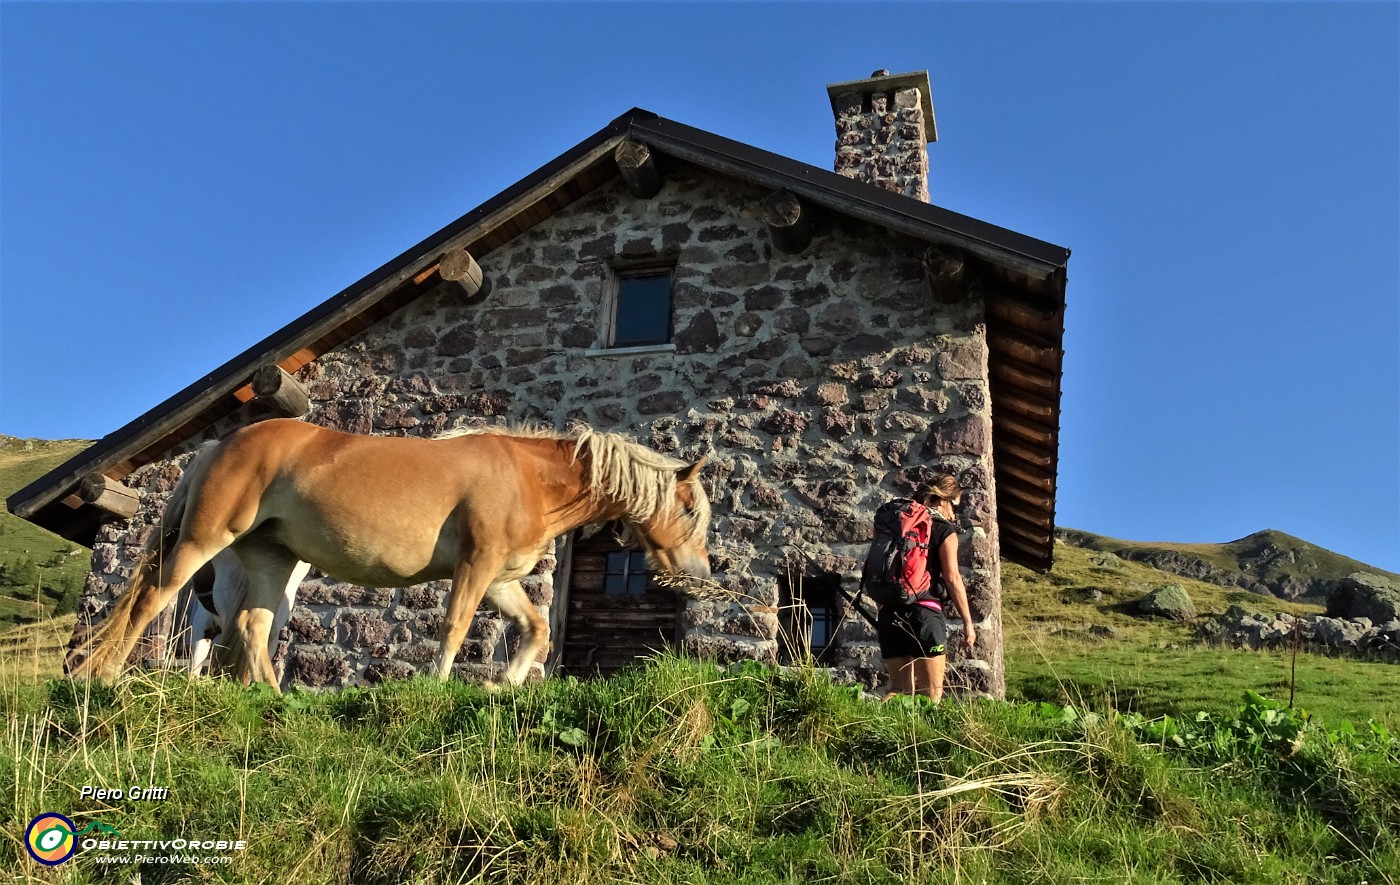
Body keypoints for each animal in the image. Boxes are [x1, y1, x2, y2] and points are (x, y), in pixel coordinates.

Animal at [65, 422, 711, 691]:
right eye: (690, 509)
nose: (702, 574)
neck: (528, 478)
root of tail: (220, 443)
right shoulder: (476, 567)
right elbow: (454, 628)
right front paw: (438, 688)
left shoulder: (499, 579)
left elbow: (535, 630)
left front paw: (502, 684)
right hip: (206, 539)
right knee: (154, 600)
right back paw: (102, 676)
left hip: (272, 558)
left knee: (252, 626)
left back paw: (275, 699)